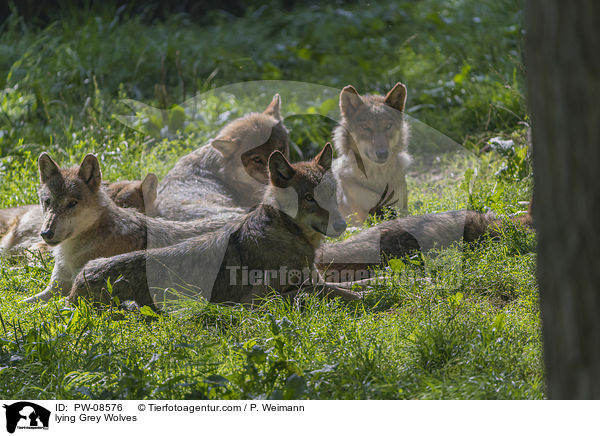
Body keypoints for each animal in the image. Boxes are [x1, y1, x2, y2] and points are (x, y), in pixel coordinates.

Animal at [23, 152, 243, 304]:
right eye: (48, 202)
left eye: (72, 204)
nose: (46, 233)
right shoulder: (53, 288)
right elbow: (22, 303)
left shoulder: (71, 288)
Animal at [70, 144, 360, 310]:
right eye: (309, 198)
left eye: (331, 193)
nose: (342, 225)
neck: (287, 232)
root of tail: (74, 286)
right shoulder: (256, 301)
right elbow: (332, 292)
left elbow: (350, 287)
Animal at [332, 82, 412, 225]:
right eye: (366, 127)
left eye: (388, 126)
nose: (382, 154)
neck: (378, 178)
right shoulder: (364, 216)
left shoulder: (399, 210)